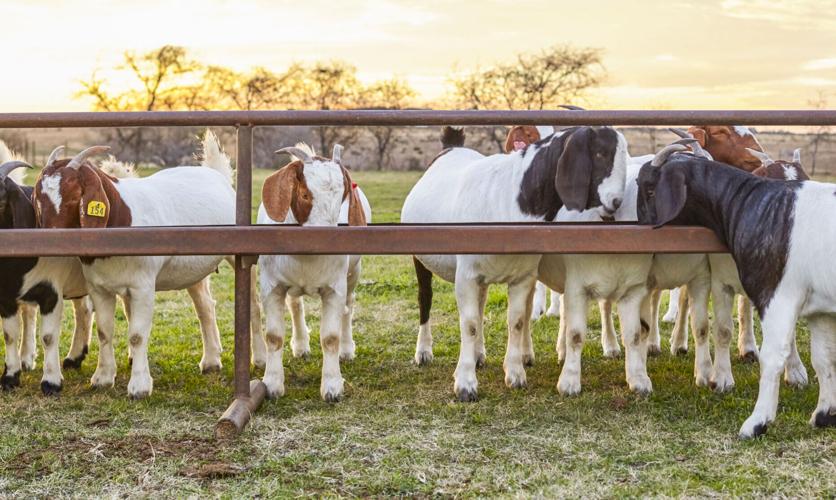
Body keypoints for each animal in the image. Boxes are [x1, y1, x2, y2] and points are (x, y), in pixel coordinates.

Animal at [32, 132, 245, 398]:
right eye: (38, 199)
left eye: (72, 198)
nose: (47, 241)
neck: (122, 219)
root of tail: (216, 173)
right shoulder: (99, 288)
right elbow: (105, 332)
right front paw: (102, 378)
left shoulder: (143, 287)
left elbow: (136, 336)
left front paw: (139, 387)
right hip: (193, 269)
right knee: (205, 306)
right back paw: (211, 361)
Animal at [257, 144, 370, 402]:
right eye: (305, 195)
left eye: (342, 198)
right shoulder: (271, 287)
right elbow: (273, 336)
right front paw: (272, 384)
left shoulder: (334, 289)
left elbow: (330, 338)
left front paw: (332, 387)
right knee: (296, 305)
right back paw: (300, 345)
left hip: (353, 272)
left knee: (349, 306)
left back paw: (347, 349)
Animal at [402, 125, 628, 401]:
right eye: (600, 153)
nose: (616, 203)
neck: (512, 197)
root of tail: (452, 146)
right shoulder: (465, 275)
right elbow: (469, 324)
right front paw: (465, 384)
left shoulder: (522, 276)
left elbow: (517, 321)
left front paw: (515, 375)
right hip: (420, 258)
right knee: (425, 298)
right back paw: (424, 352)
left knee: (480, 305)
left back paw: (478, 354)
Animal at [636, 145, 836, 438]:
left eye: (650, 189)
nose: (641, 229)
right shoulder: (819, 310)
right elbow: (824, 358)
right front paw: (824, 414)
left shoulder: (777, 295)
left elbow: (773, 356)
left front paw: (757, 422)